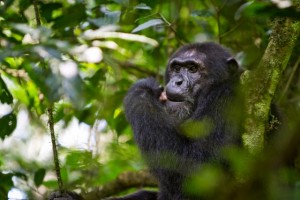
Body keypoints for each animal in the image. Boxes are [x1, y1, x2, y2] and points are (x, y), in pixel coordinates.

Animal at [122, 41, 241, 199]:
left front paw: (143, 88)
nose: (177, 81)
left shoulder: (226, 100)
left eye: (193, 69)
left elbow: (199, 168)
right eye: (176, 68)